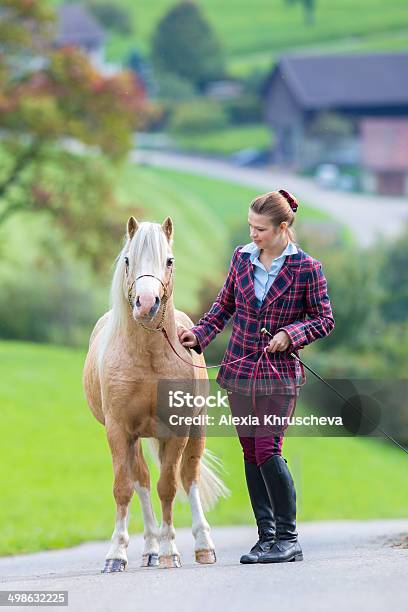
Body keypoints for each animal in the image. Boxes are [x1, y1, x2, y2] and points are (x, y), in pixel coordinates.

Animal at [82, 218, 230, 572]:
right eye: (127, 260)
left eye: (170, 260)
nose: (147, 304)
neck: (148, 357)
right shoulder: (119, 430)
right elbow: (124, 488)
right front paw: (116, 554)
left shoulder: (176, 429)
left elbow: (169, 487)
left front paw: (169, 551)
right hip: (136, 437)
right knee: (142, 480)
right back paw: (149, 548)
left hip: (196, 430)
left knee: (188, 478)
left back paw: (202, 546)